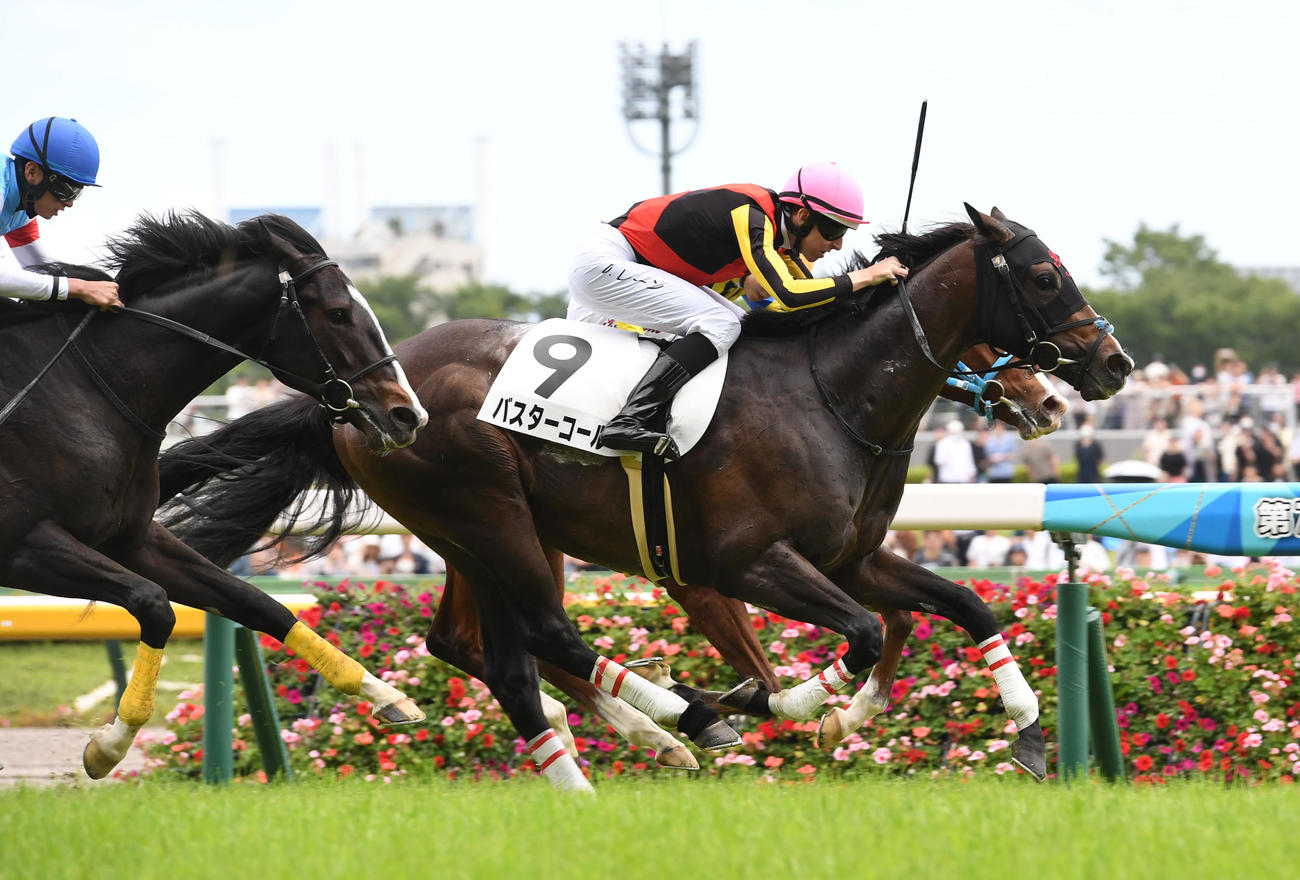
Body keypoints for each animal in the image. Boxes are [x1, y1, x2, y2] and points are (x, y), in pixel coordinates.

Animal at [0, 211, 429, 779]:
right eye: (338, 314)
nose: (408, 414)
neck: (86, 389)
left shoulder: (130, 538)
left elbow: (258, 604)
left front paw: (386, 695)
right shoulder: (23, 544)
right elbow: (153, 603)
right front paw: (107, 747)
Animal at [159, 206, 1132, 791]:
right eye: (1044, 277)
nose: (1111, 365)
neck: (832, 391)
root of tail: (368, 390)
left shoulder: (851, 556)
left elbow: (962, 607)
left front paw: (1028, 734)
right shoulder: (745, 563)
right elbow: (848, 639)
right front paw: (790, 707)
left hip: (482, 532)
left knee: (478, 648)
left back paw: (636, 734)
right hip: (486, 513)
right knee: (542, 638)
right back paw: (679, 720)